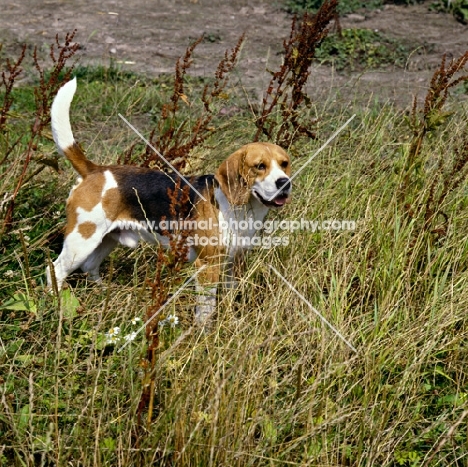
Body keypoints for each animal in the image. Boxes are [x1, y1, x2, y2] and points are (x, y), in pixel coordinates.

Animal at [46, 78, 288, 324]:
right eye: (260, 166)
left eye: (284, 164)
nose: (284, 183)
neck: (239, 209)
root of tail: (95, 170)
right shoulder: (208, 265)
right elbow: (206, 308)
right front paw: (204, 330)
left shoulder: (234, 263)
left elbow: (230, 295)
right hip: (82, 240)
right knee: (55, 270)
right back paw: (55, 304)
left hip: (106, 239)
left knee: (90, 266)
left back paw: (106, 295)